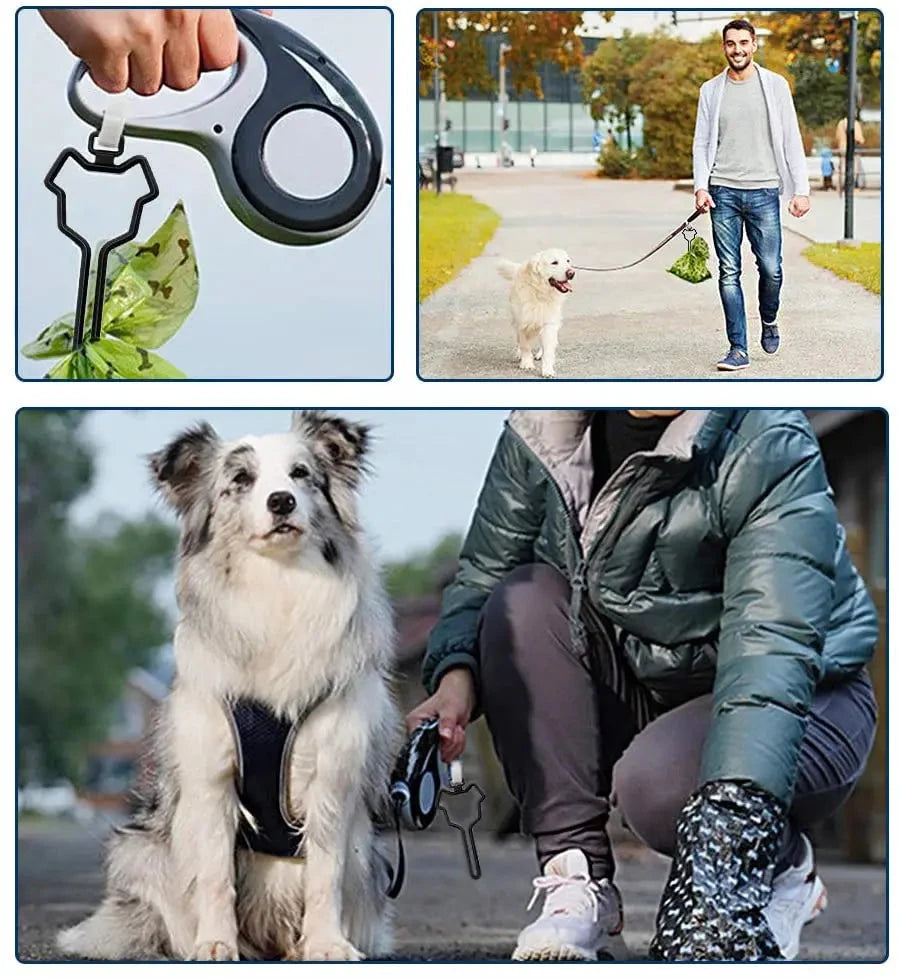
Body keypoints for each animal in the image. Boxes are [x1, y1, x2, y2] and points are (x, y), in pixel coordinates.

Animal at [59, 408, 400, 956]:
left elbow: (325, 871)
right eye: (241, 480)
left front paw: (327, 945)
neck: (278, 585)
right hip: (139, 849)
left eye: (301, 474)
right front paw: (216, 945)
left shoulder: (333, 775)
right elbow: (216, 874)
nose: (281, 501)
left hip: (368, 864)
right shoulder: (211, 777)